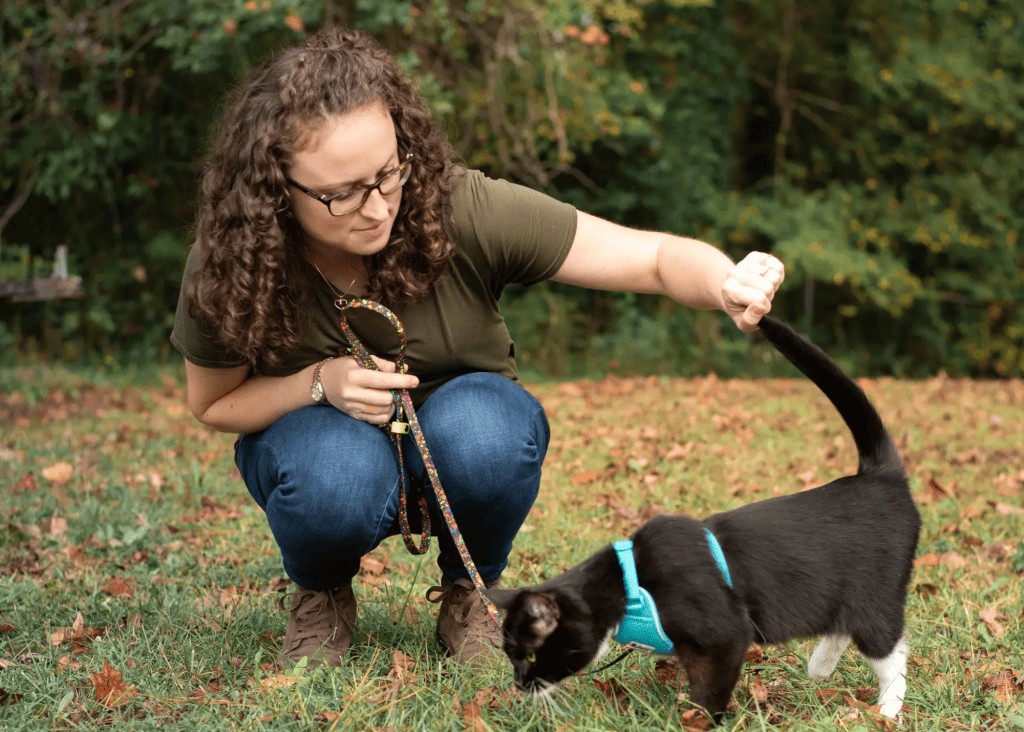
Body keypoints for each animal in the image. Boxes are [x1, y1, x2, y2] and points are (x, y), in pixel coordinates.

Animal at [485, 317, 921, 724]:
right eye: (509, 653)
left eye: (530, 655)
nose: (519, 683)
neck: (631, 580)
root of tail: (880, 474)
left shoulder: (724, 634)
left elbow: (710, 687)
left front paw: (697, 720)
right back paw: (821, 666)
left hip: (875, 594)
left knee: (890, 650)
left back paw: (887, 710)